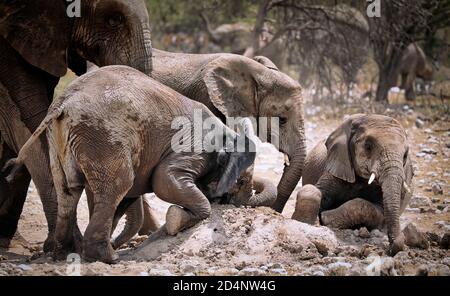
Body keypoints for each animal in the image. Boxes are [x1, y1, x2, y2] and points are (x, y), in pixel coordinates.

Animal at [6, 66, 256, 262]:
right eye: (242, 182)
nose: (233, 203)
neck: (228, 133)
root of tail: (63, 103)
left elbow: (129, 198)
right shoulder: (196, 147)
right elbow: (163, 179)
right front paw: (176, 220)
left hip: (61, 139)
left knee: (69, 190)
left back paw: (65, 254)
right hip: (102, 135)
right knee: (118, 185)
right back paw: (108, 258)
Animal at [292, 114, 414, 256]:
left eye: (405, 155)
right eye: (368, 146)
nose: (392, 248)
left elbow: (377, 210)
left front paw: (325, 218)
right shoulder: (337, 165)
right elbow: (314, 190)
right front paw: (307, 221)